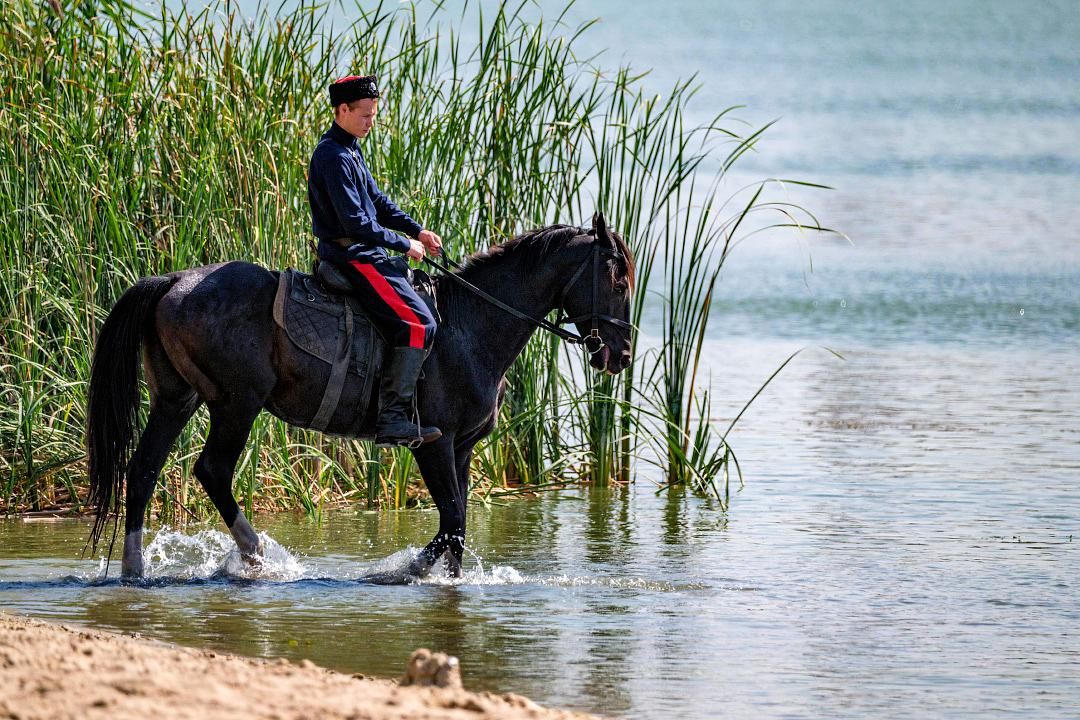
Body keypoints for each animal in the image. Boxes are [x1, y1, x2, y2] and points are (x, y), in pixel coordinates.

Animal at [88, 212, 635, 578]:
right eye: (615, 277)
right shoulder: (434, 443)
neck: (471, 325)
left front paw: (442, 580)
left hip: (176, 399)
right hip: (237, 403)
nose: (621, 355)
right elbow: (453, 520)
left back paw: (135, 569)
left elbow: (455, 529)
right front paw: (405, 572)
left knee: (143, 470)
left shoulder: (461, 449)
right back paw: (255, 554)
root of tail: (174, 281)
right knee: (213, 470)